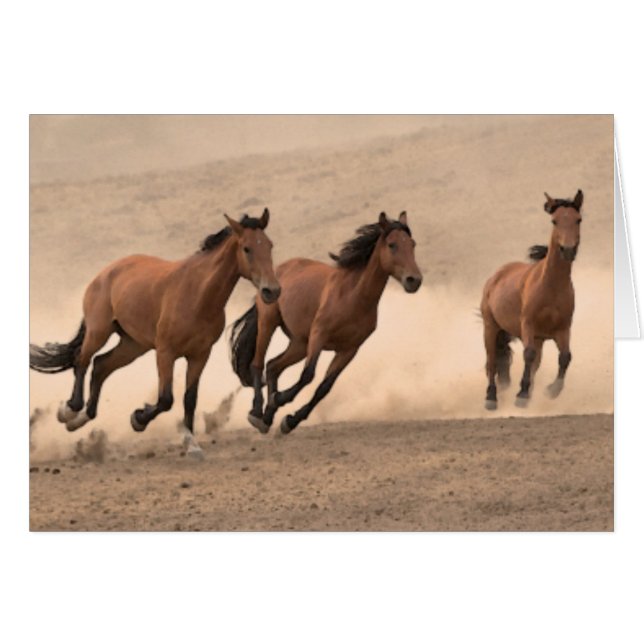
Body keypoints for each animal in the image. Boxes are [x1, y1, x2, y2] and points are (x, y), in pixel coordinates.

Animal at [30, 209, 280, 457]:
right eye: (247, 248)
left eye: (269, 245)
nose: (272, 290)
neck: (197, 295)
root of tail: (106, 272)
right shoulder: (165, 353)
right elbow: (166, 399)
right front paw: (138, 418)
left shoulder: (199, 355)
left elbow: (190, 398)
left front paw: (191, 443)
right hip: (99, 332)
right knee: (81, 360)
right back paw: (69, 411)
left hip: (133, 345)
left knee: (101, 365)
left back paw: (81, 419)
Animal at [229, 211, 423, 435]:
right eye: (392, 245)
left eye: (412, 244)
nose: (414, 280)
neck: (354, 297)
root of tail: (274, 273)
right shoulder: (319, 336)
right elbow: (308, 375)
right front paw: (281, 400)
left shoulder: (349, 350)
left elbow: (324, 388)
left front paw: (290, 420)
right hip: (269, 323)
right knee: (258, 364)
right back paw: (257, 413)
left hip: (299, 344)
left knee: (273, 366)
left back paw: (268, 417)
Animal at [480, 190, 583, 410]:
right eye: (554, 220)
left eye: (578, 219)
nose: (568, 250)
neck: (550, 287)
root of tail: (496, 276)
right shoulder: (528, 324)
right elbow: (527, 354)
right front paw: (521, 395)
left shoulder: (562, 329)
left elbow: (565, 357)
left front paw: (551, 391)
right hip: (490, 327)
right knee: (492, 360)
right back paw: (491, 398)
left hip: (539, 338)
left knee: (534, 363)